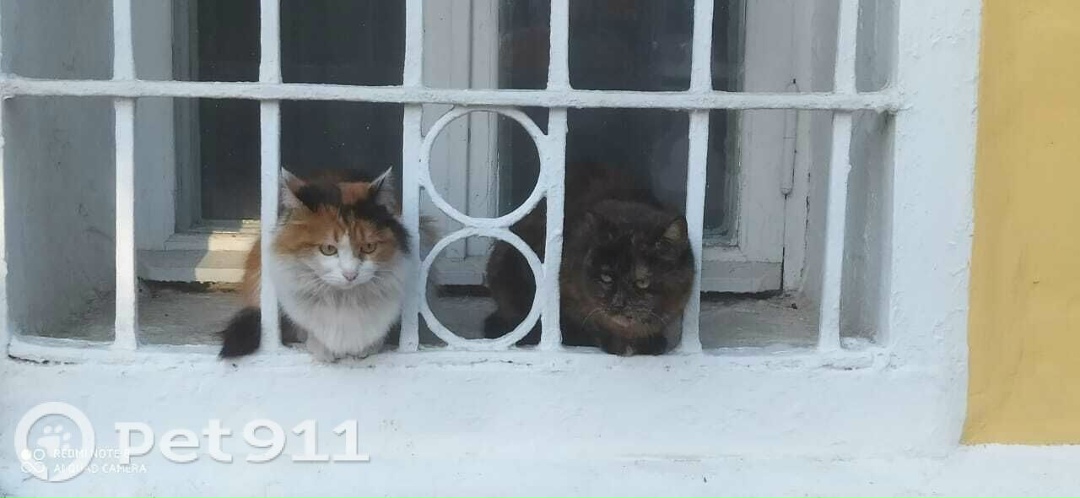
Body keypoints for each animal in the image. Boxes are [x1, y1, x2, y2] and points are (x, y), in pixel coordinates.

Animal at [219, 167, 413, 362]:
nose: (350, 275)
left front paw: (369, 347)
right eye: (328, 249)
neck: (343, 300)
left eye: (369, 247)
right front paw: (321, 347)